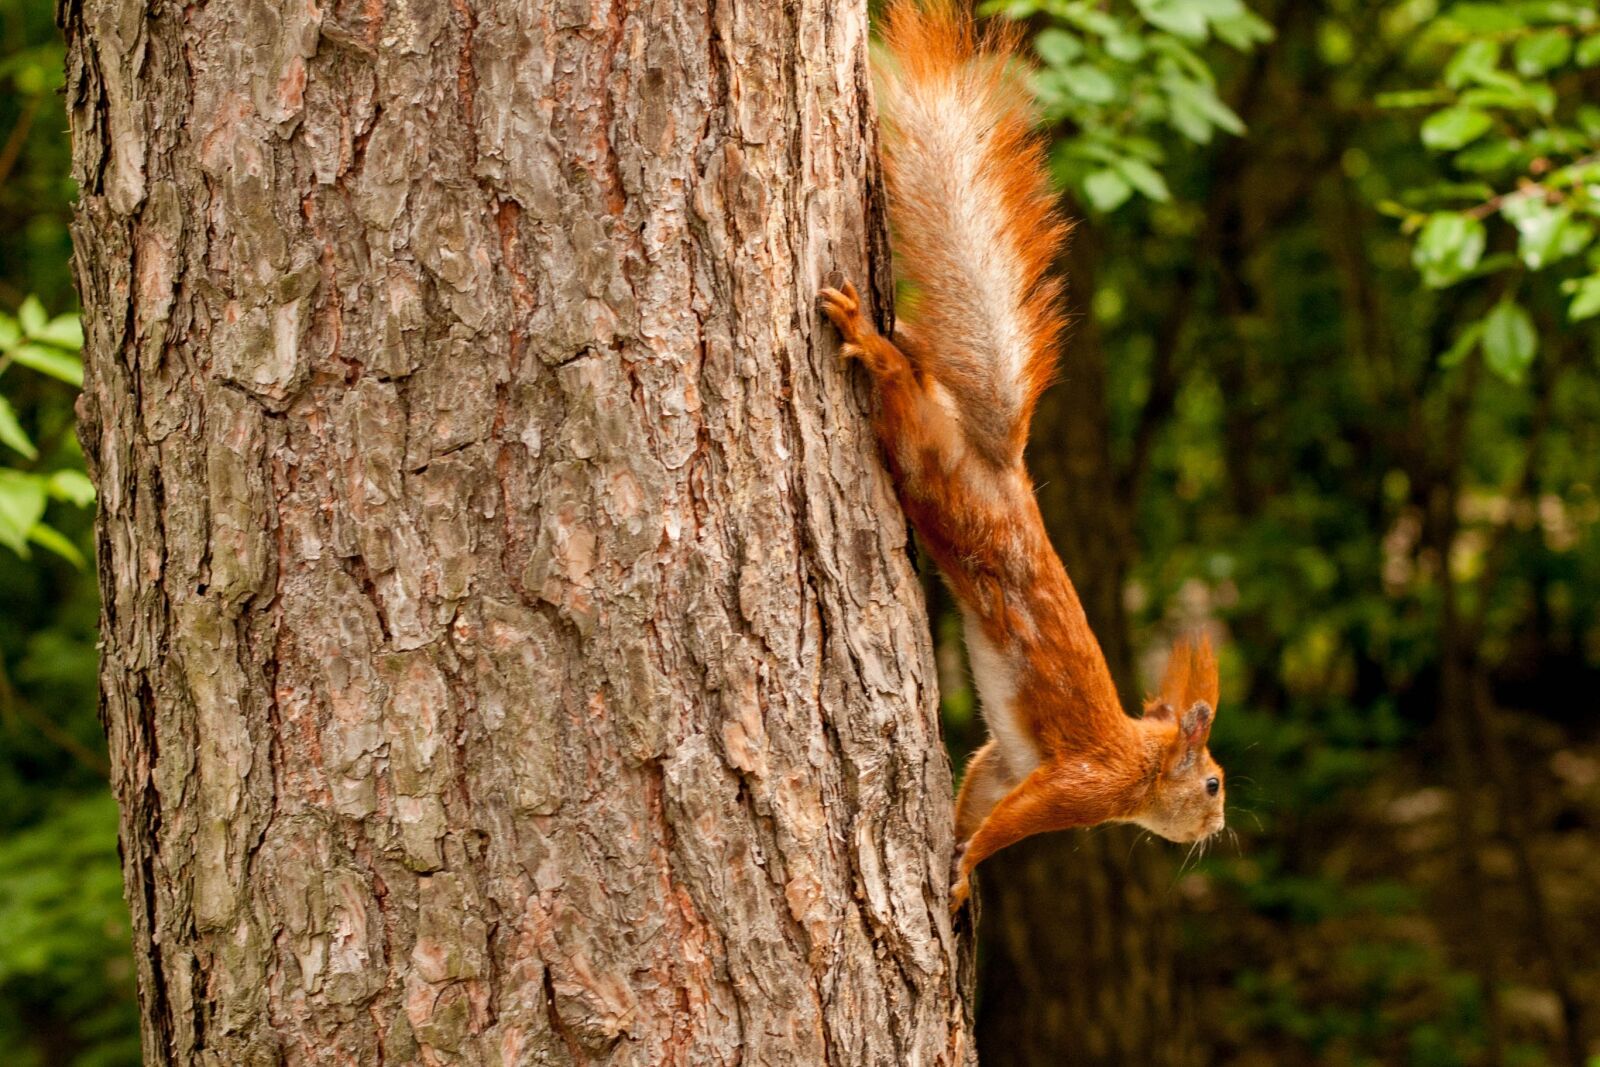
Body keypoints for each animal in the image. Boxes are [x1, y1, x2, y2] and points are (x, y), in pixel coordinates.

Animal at [825, 2, 1222, 921]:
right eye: (1216, 783)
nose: (1220, 830)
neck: (1140, 758)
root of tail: (1003, 468)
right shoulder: (1083, 782)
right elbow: (1015, 821)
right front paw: (969, 867)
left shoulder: (1007, 759)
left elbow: (980, 787)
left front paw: (957, 858)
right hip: (933, 471)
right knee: (899, 396)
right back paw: (870, 339)